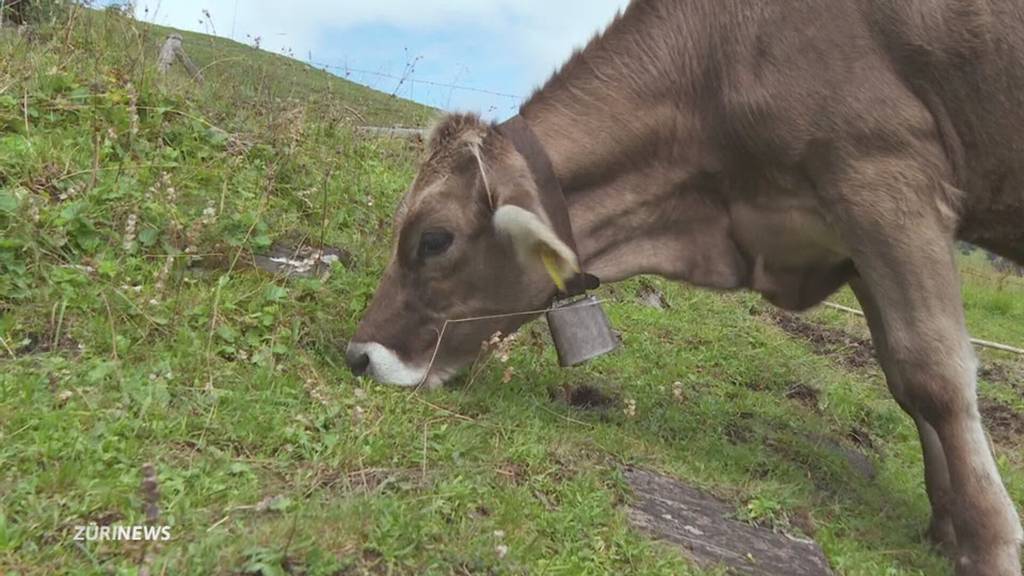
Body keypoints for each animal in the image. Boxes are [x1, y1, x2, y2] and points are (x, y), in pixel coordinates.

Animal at [346, 0, 1024, 569]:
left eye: (434, 239)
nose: (359, 355)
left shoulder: (883, 179)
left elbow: (934, 374)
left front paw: (990, 545)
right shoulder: (847, 235)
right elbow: (903, 382)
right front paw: (946, 527)